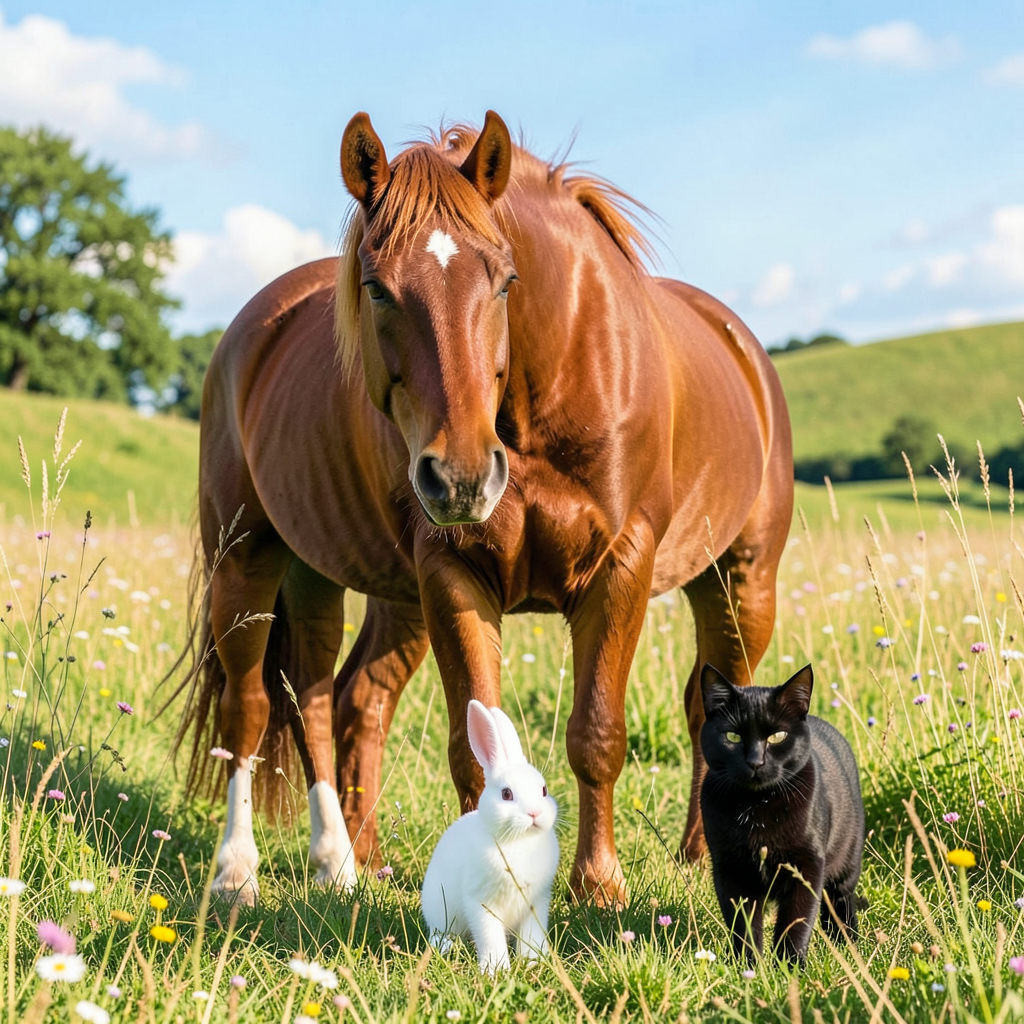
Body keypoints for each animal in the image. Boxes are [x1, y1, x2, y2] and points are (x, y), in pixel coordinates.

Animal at [178, 110, 793, 907]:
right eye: (376, 287)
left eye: (505, 280)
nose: (463, 478)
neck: (553, 380)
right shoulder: (452, 574)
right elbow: (473, 752)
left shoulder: (621, 564)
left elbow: (598, 734)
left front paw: (599, 886)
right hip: (251, 557)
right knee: (254, 708)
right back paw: (243, 871)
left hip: (737, 580)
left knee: (331, 699)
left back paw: (345, 861)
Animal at [421, 699, 559, 974]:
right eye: (506, 794)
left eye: (543, 790)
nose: (534, 813)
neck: (519, 841)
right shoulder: (481, 903)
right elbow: (490, 937)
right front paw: (496, 969)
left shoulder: (536, 903)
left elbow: (531, 936)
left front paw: (533, 961)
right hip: (439, 909)